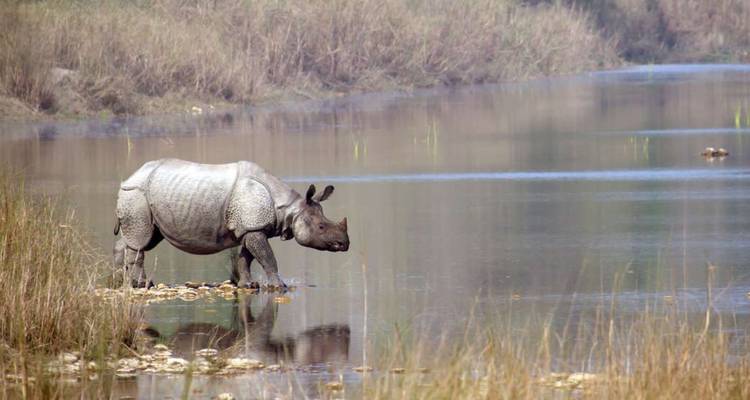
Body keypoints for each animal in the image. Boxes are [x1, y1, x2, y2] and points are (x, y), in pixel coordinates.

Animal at [113, 158, 350, 288]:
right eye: (321, 227)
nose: (345, 244)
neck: (289, 208)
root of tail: (130, 177)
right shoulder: (253, 226)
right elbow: (267, 257)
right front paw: (279, 286)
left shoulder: (249, 227)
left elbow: (246, 258)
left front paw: (249, 285)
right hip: (136, 194)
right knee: (140, 240)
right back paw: (142, 284)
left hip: (145, 197)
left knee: (142, 238)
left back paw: (120, 281)